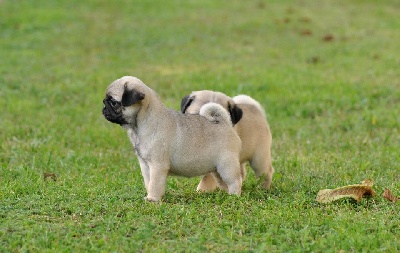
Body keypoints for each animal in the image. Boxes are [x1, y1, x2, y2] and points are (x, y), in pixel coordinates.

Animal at [101, 76, 242, 202]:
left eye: (113, 102)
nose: (103, 107)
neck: (139, 127)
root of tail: (224, 122)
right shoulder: (145, 166)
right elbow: (148, 182)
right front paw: (149, 196)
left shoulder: (157, 165)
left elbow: (155, 184)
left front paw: (152, 199)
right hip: (217, 169)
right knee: (223, 183)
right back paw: (227, 195)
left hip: (226, 166)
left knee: (235, 181)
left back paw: (234, 196)